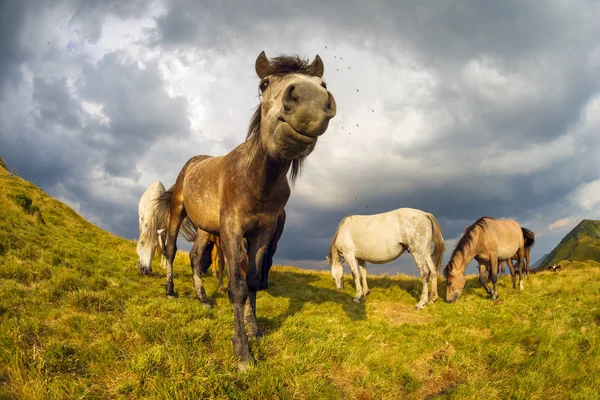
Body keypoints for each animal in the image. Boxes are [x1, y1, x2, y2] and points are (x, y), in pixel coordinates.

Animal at [150, 52, 336, 368]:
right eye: (264, 84)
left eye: (322, 84)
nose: (309, 103)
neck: (256, 180)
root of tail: (192, 162)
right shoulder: (232, 230)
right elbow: (236, 287)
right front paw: (243, 351)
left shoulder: (263, 233)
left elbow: (251, 283)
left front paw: (255, 330)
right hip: (179, 211)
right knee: (172, 250)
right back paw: (171, 291)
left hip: (206, 228)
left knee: (196, 257)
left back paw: (203, 299)